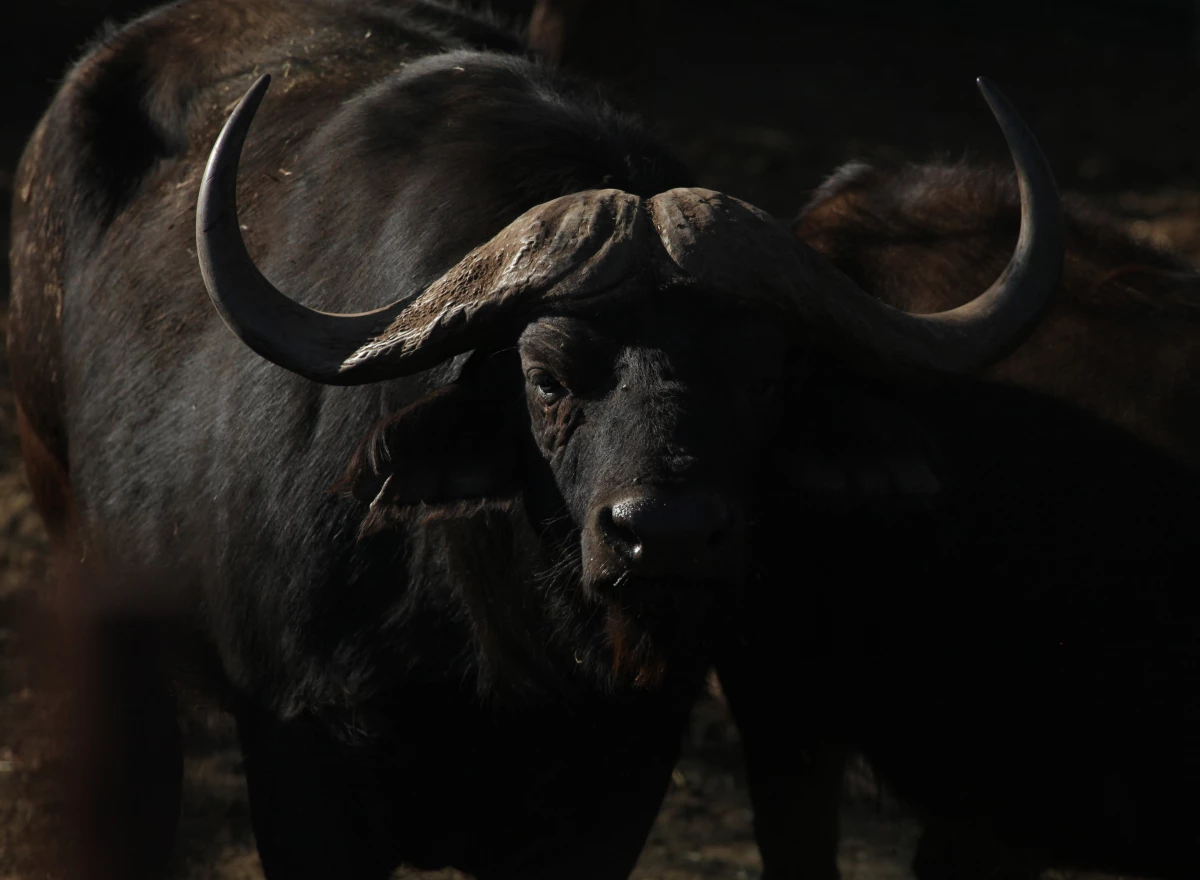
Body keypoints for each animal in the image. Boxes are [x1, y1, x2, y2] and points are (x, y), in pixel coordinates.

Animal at [7, 1, 1061, 877]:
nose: (664, 535)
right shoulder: (305, 762)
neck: (499, 645)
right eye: (546, 378)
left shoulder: (620, 780)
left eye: (763, 378)